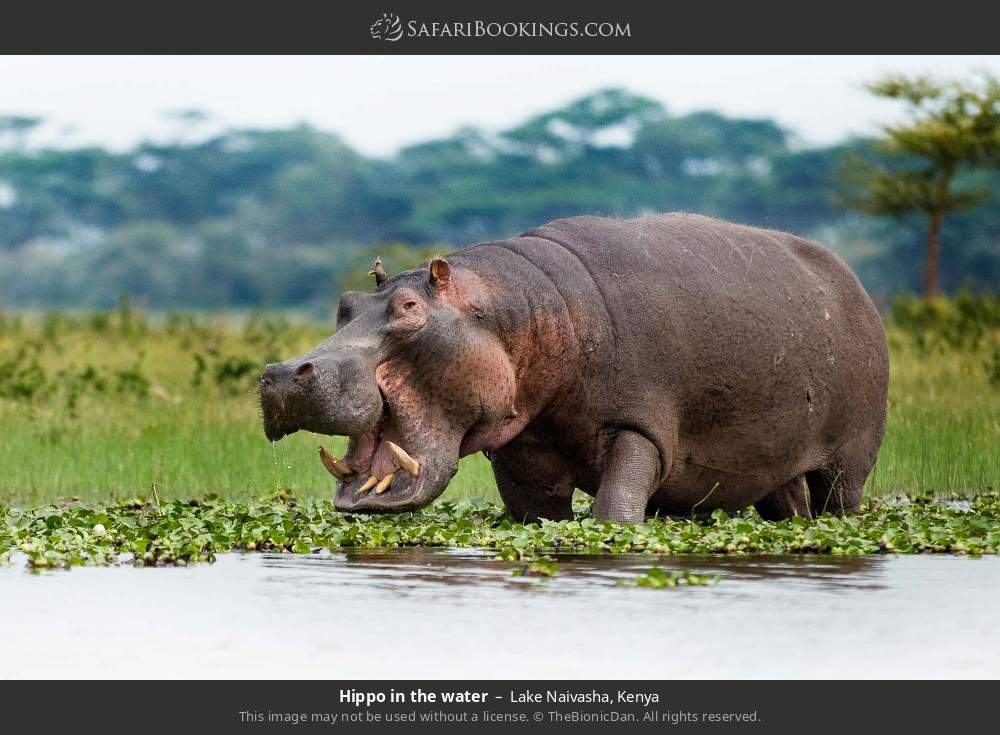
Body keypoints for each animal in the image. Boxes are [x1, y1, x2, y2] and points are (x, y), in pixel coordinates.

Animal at [260, 213, 892, 524]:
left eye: (410, 308)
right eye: (345, 304)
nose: (280, 373)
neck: (522, 311)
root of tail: (854, 280)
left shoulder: (641, 426)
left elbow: (615, 511)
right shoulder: (524, 446)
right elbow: (537, 515)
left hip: (851, 459)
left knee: (840, 503)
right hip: (773, 467)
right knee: (789, 505)